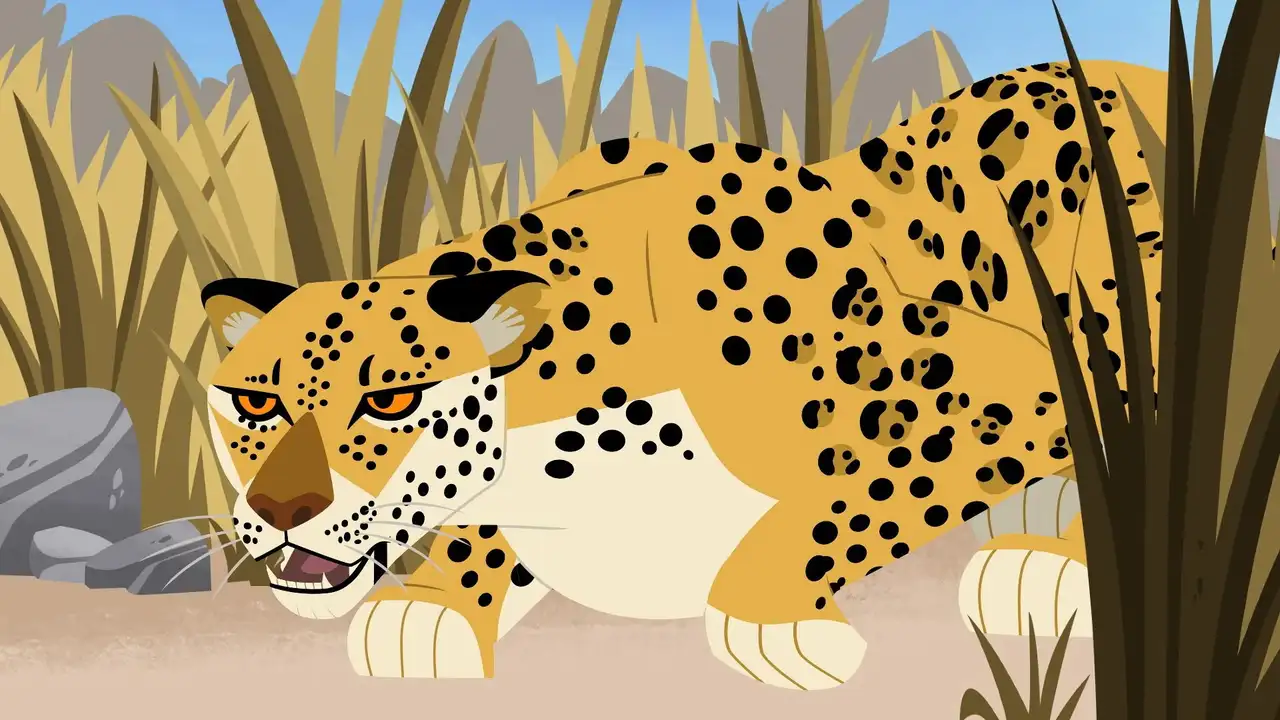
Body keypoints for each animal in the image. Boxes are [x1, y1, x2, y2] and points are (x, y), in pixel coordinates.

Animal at [199, 58, 1169, 690]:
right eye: (252, 402)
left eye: (390, 399)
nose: (281, 510)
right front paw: (439, 605)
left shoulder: (1000, 384)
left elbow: (846, 504)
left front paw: (767, 618)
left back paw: (1048, 563)